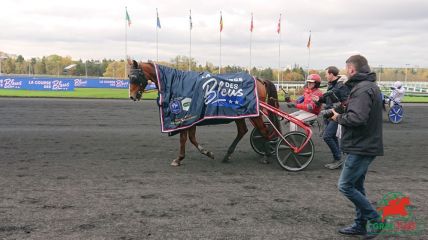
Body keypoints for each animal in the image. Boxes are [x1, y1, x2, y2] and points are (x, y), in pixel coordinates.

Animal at [127, 59, 280, 166]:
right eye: (129, 76)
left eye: (134, 77)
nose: (132, 96)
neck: (178, 84)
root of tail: (258, 79)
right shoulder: (191, 117)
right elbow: (191, 138)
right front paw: (206, 152)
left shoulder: (186, 115)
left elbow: (184, 138)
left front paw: (179, 159)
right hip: (240, 114)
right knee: (243, 131)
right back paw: (228, 155)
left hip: (255, 114)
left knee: (264, 131)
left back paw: (266, 155)